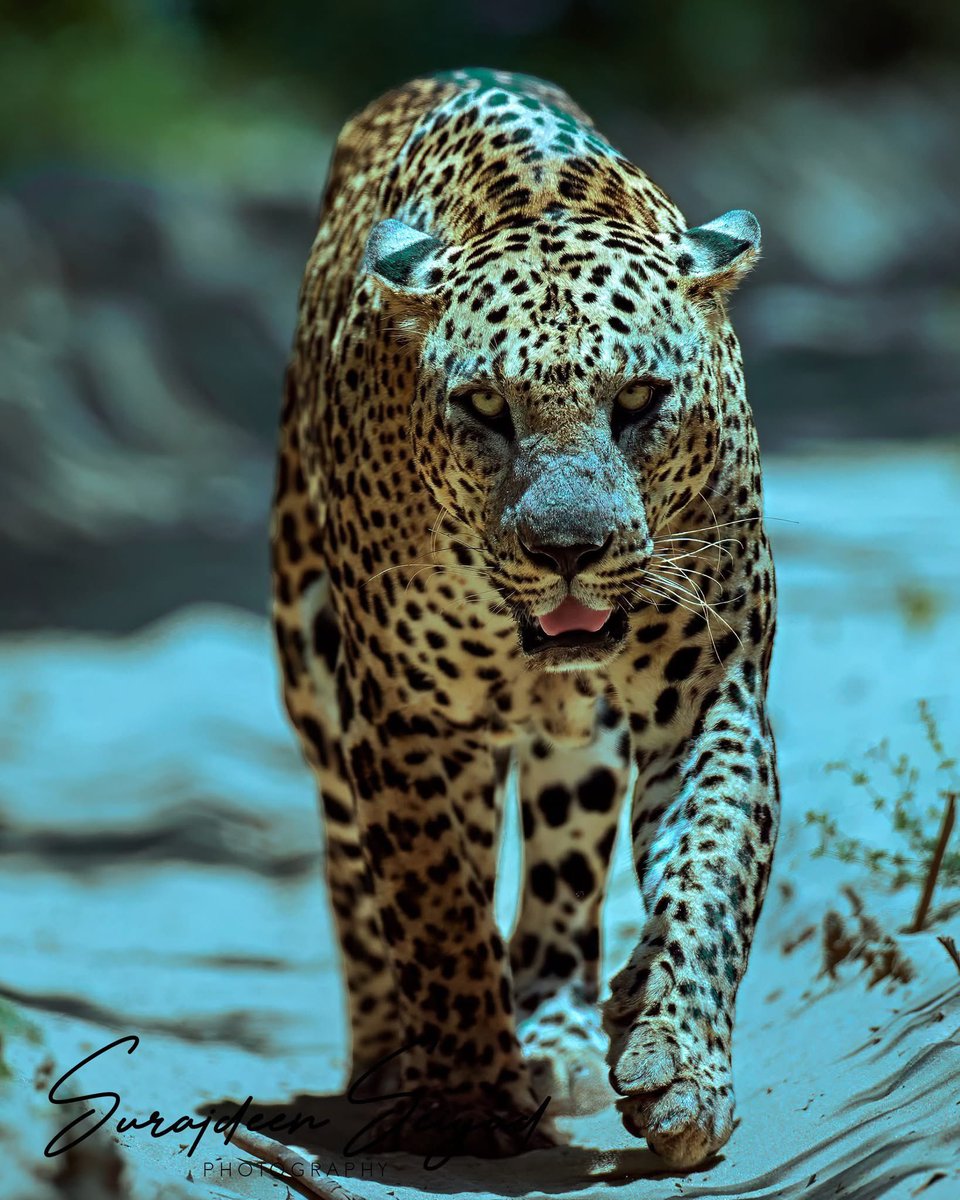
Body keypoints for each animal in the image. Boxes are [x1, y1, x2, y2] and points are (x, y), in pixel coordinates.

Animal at [270, 67, 779, 1169]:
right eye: (483, 409)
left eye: (639, 399)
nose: (568, 551)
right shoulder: (407, 720)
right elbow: (435, 909)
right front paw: (466, 1099)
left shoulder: (711, 687)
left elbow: (714, 869)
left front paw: (679, 1062)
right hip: (317, 675)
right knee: (357, 875)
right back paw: (391, 1059)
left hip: (575, 742)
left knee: (562, 873)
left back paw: (561, 1035)